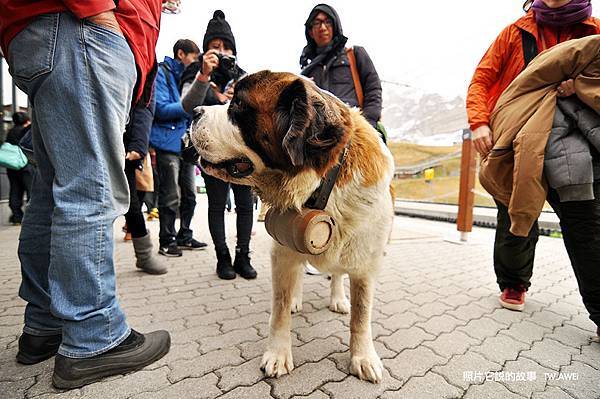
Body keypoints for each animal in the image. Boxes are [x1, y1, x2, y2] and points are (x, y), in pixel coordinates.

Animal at [191, 70, 394, 382]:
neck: (322, 185)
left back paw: (338, 298)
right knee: (298, 274)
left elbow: (361, 315)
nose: (194, 111)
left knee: (337, 274)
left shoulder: (366, 262)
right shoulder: (282, 251)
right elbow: (281, 305)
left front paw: (363, 357)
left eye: (238, 105)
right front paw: (278, 354)